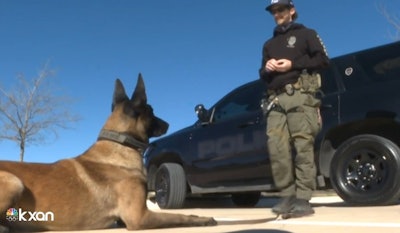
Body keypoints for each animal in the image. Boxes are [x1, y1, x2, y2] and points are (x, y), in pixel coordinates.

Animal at [0, 75, 216, 232]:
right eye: (151, 110)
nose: (169, 124)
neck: (120, 145)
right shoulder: (138, 217)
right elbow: (178, 216)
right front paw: (204, 219)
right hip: (14, 181)